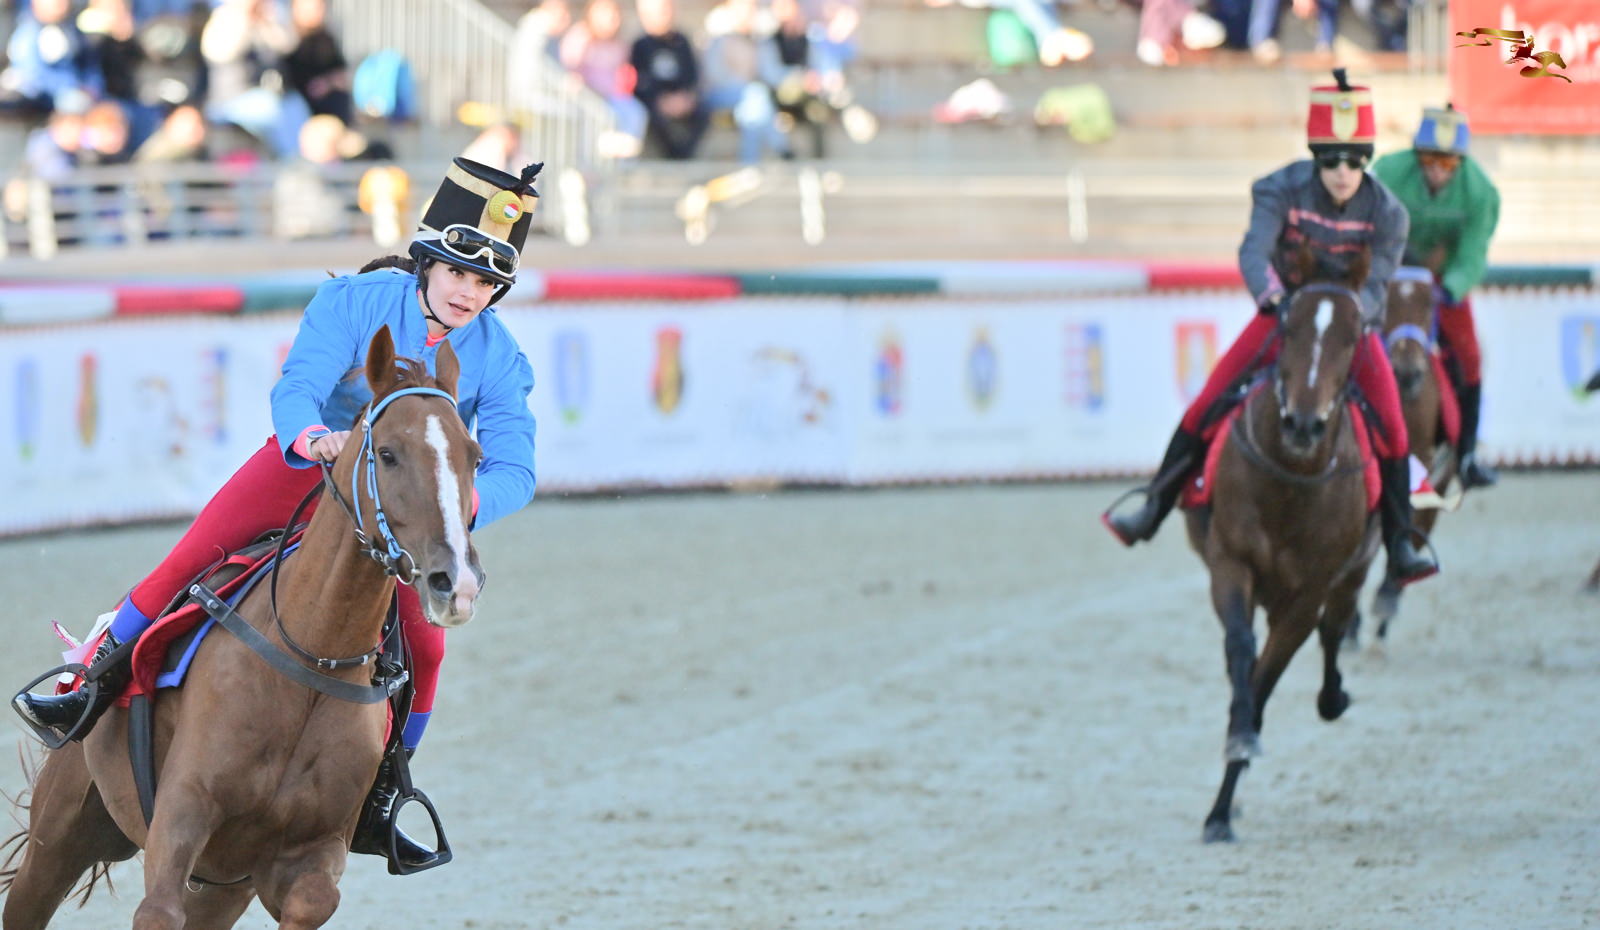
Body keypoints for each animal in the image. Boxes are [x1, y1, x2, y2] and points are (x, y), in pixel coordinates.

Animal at [1182, 250, 1381, 844]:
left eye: (1353, 336)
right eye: (1287, 327)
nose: (1303, 424)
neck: (1291, 483)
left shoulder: (1310, 592)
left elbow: (1268, 679)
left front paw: (1225, 799)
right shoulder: (1230, 564)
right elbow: (1241, 652)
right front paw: (1231, 777)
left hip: (1353, 573)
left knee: (1335, 632)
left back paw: (1332, 697)